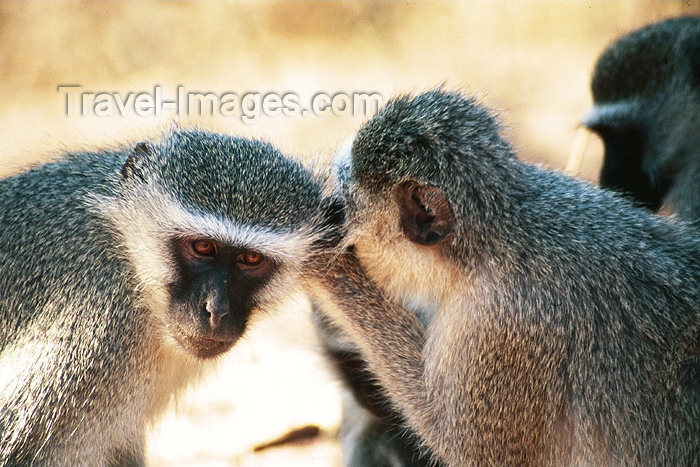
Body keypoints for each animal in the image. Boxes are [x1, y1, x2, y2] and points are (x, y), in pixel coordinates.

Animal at [306, 89, 700, 466]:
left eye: (344, 204)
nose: (334, 214)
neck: (491, 245)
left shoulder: (499, 330)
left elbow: (463, 446)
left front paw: (323, 264)